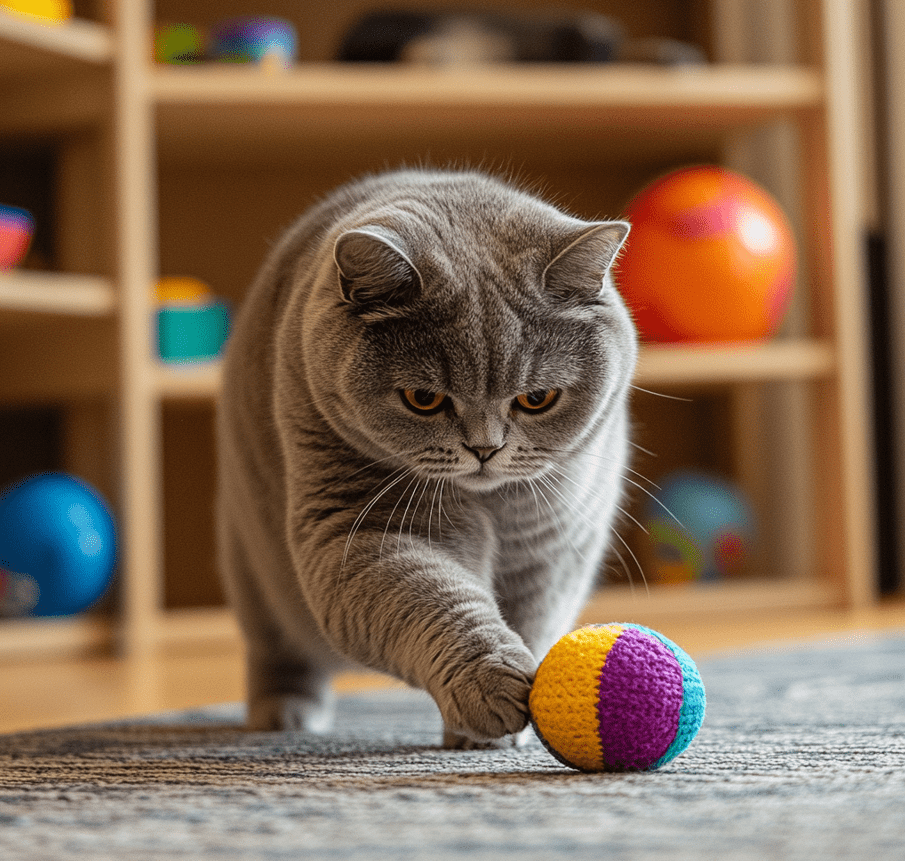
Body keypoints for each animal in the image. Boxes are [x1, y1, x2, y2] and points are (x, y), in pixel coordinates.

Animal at [217, 168, 636, 744]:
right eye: (423, 399)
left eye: (537, 398)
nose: (485, 448)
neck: (490, 508)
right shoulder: (360, 530)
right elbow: (433, 600)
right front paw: (493, 685)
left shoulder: (552, 551)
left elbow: (532, 619)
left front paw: (501, 729)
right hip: (254, 571)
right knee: (279, 650)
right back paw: (284, 714)